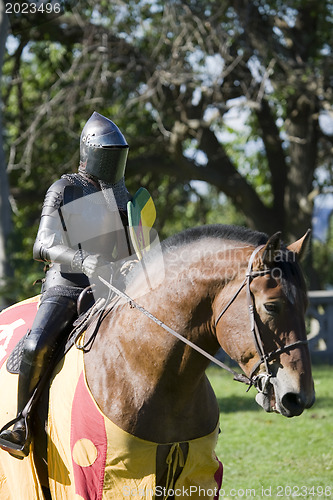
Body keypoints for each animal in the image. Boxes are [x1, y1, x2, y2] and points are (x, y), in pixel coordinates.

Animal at [0, 225, 314, 498]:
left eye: (306, 305)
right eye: (271, 306)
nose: (300, 397)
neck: (143, 366)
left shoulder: (192, 474)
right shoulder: (109, 478)